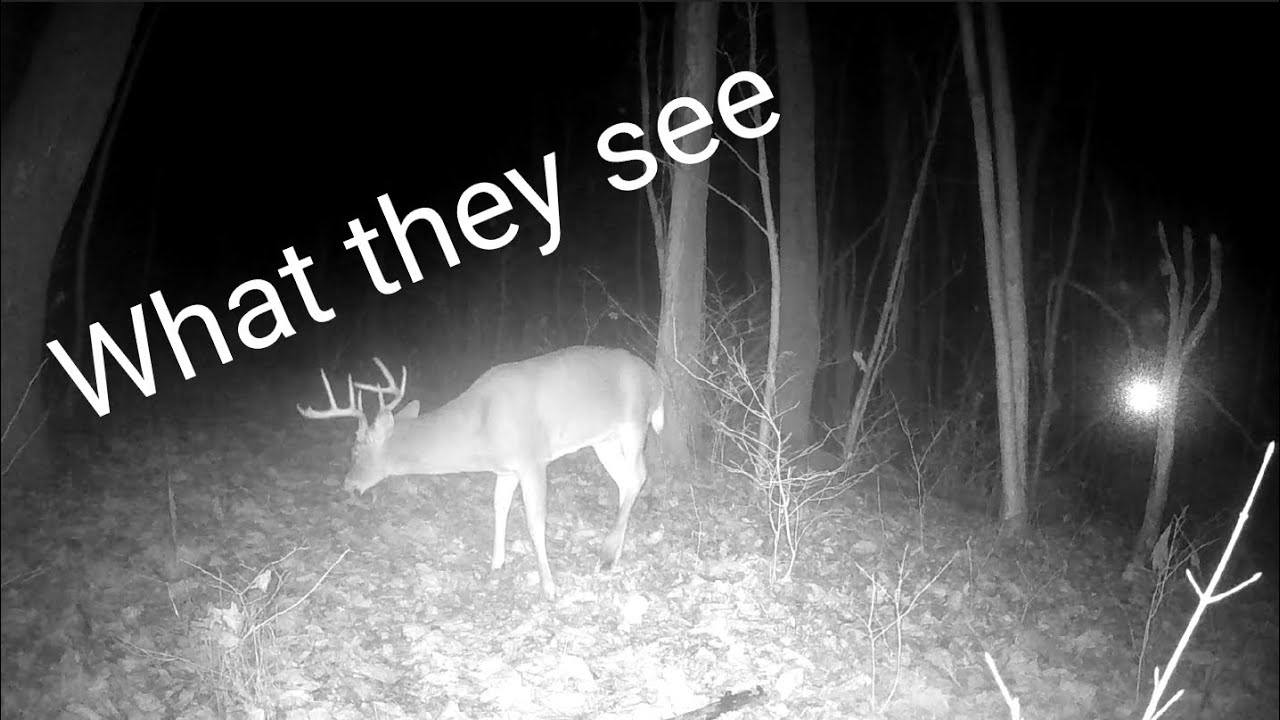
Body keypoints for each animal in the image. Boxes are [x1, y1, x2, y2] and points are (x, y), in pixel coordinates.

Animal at [296, 345, 665, 600]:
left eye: (356, 450)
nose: (348, 484)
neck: (481, 426)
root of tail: (654, 377)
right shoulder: (507, 468)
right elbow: (499, 506)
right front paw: (496, 564)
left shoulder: (532, 459)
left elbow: (535, 521)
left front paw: (549, 587)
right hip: (603, 439)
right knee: (626, 480)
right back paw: (612, 551)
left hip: (633, 423)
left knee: (637, 475)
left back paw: (607, 556)